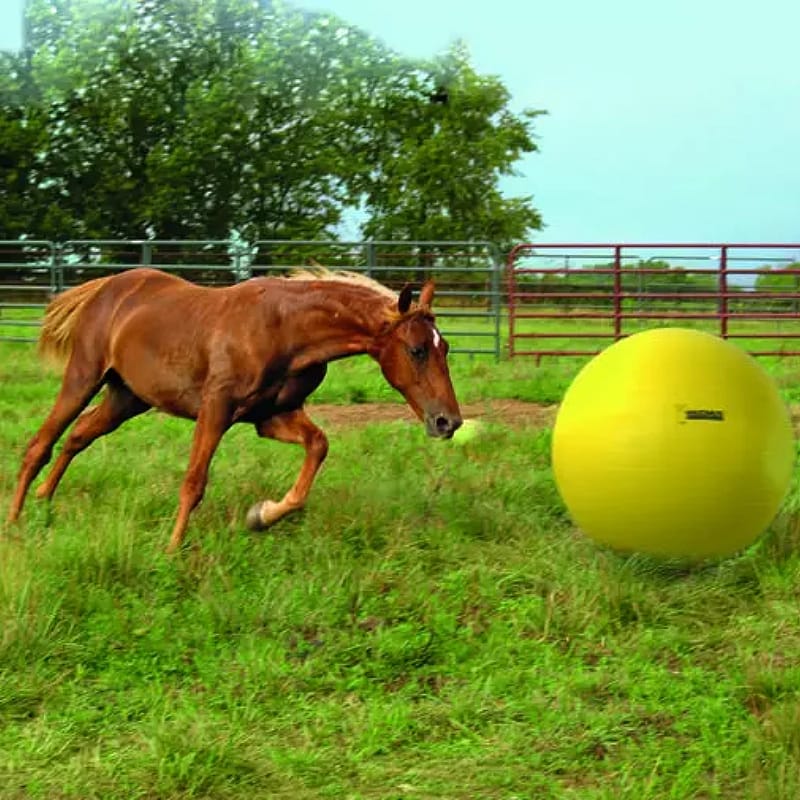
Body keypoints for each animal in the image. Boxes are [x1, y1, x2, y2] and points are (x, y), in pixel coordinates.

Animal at [7, 267, 463, 552]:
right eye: (417, 350)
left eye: (445, 347)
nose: (448, 421)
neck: (285, 327)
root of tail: (106, 288)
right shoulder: (216, 408)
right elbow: (194, 482)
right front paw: (171, 550)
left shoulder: (271, 417)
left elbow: (318, 446)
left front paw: (260, 515)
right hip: (83, 378)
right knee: (40, 444)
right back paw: (14, 523)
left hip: (126, 398)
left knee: (78, 435)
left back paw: (44, 501)